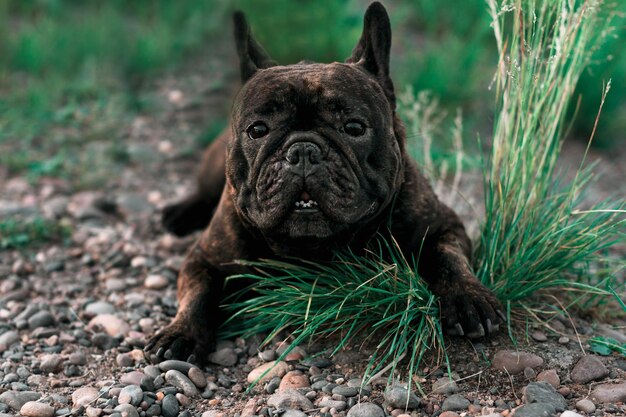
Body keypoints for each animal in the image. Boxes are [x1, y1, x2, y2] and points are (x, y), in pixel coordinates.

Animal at [144, 1, 500, 360]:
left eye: (354, 127)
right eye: (258, 130)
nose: (302, 150)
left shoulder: (443, 225)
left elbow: (448, 259)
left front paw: (468, 298)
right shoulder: (204, 258)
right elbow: (198, 293)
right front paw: (182, 332)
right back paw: (179, 213)